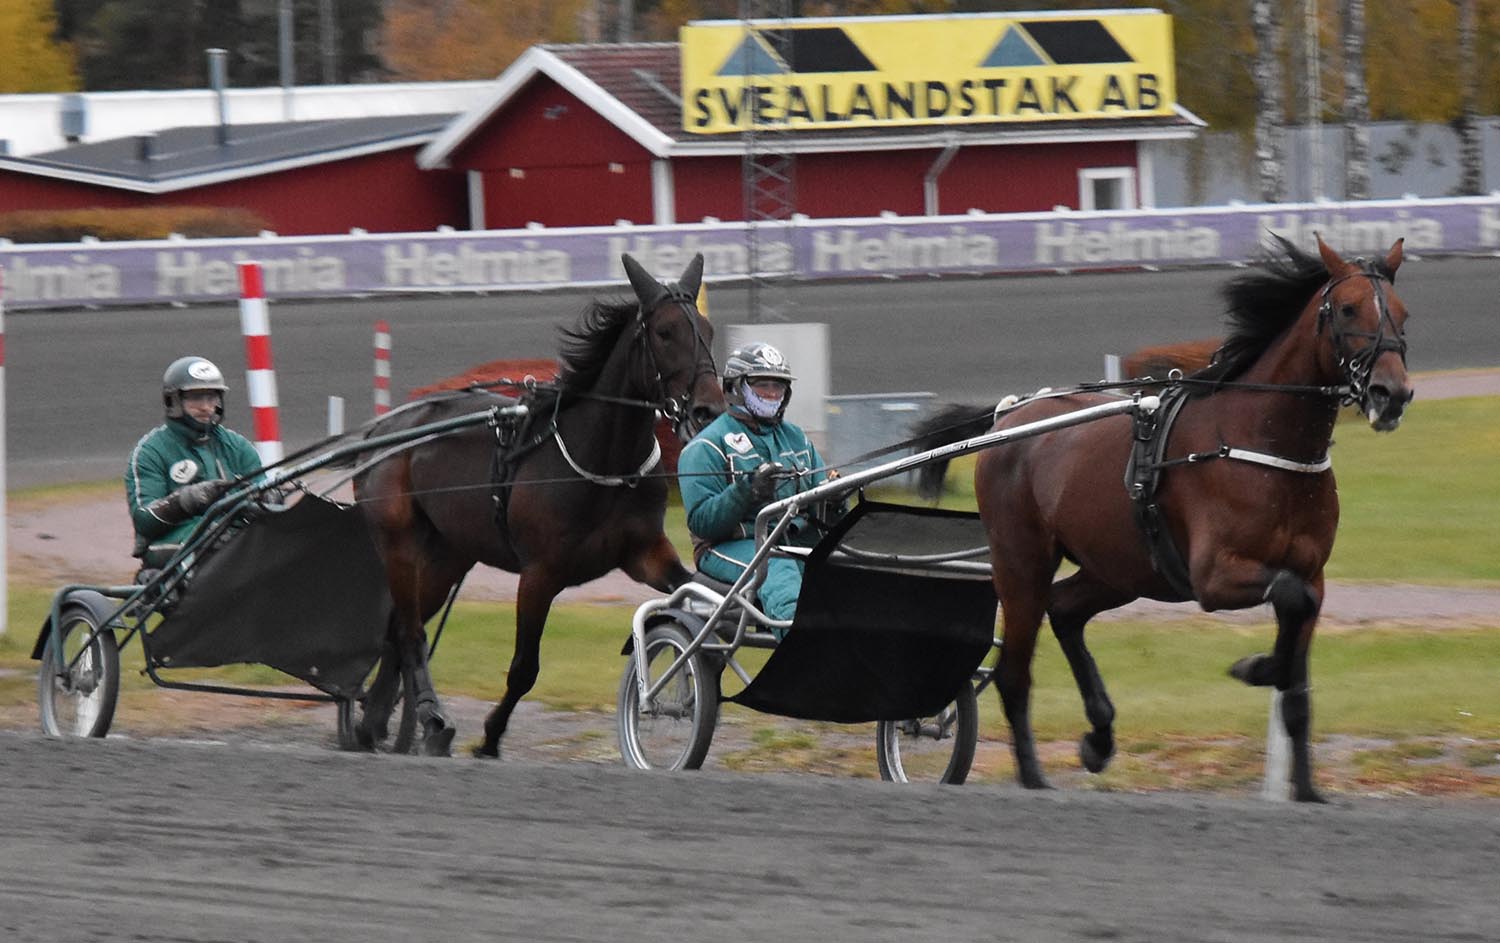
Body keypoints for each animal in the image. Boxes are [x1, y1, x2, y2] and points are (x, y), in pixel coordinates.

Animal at [354, 253, 723, 752]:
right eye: (665, 332)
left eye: (706, 330)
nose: (708, 408)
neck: (603, 461)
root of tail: (382, 430)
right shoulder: (539, 574)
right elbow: (524, 669)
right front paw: (490, 738)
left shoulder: (646, 554)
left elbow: (689, 590)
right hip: (399, 542)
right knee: (410, 631)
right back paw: (431, 718)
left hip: (449, 553)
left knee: (399, 628)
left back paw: (374, 724)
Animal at [906, 235, 1410, 803]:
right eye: (1347, 309)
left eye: (1402, 314)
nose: (1393, 393)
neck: (1258, 442)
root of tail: (1009, 416)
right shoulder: (1213, 575)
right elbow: (1286, 596)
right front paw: (1256, 666)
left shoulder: (1311, 573)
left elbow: (1298, 666)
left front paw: (1306, 789)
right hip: (1020, 561)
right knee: (1016, 671)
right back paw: (1034, 777)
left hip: (1122, 568)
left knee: (1066, 610)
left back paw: (1099, 736)